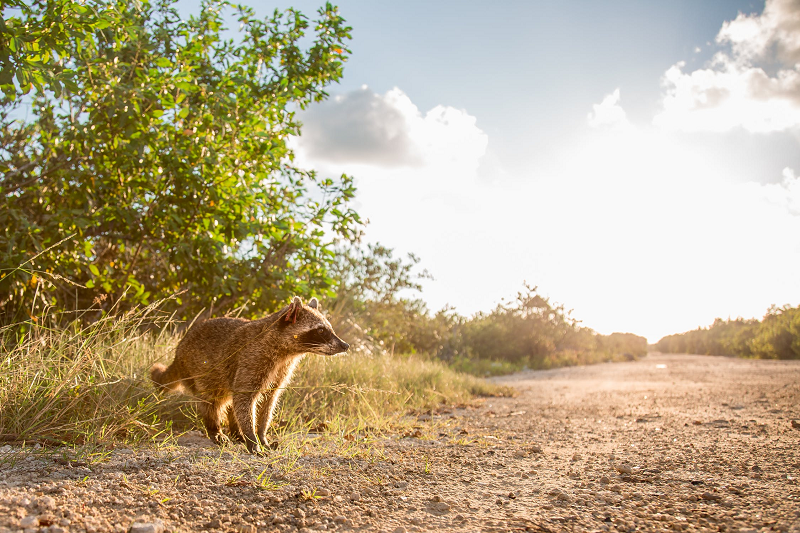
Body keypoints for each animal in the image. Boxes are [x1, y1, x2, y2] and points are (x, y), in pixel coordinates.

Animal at [151, 298, 350, 450]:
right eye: (321, 330)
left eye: (329, 328)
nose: (345, 345)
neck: (287, 352)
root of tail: (177, 354)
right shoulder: (252, 359)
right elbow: (245, 398)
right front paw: (251, 437)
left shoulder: (281, 370)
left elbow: (268, 402)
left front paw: (261, 435)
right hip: (200, 371)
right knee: (212, 401)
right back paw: (215, 428)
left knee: (230, 401)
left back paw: (235, 431)